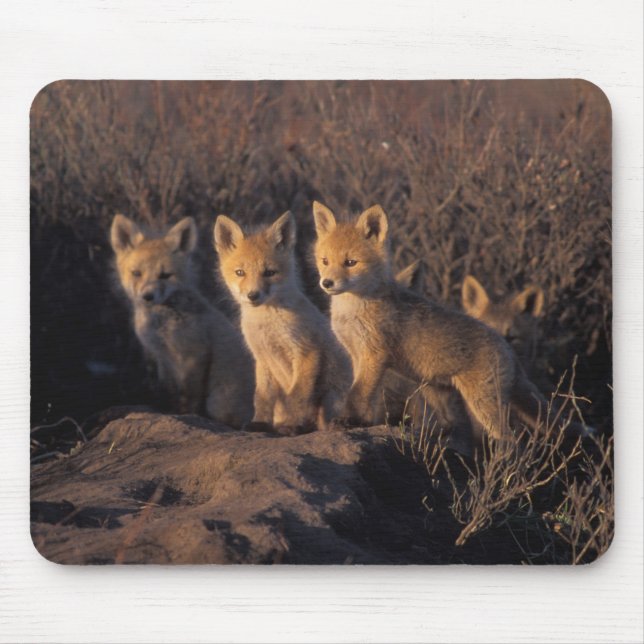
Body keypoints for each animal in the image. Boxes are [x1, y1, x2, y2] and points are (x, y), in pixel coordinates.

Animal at [110, 213, 254, 427]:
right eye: (136, 273)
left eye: (165, 275)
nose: (147, 296)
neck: (161, 329)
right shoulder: (163, 359)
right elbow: (170, 391)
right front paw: (169, 411)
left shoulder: (194, 356)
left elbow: (189, 397)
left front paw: (187, 416)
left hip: (219, 401)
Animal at [214, 211, 352, 435]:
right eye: (240, 272)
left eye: (269, 273)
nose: (253, 295)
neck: (268, 326)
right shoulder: (262, 358)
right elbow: (262, 398)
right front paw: (259, 423)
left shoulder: (307, 352)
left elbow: (296, 397)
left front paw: (290, 425)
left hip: (331, 396)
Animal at [312, 201, 550, 440]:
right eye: (325, 261)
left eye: (351, 262)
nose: (327, 283)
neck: (351, 311)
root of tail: (507, 348)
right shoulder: (356, 354)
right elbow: (366, 396)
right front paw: (363, 422)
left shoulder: (374, 354)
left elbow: (357, 395)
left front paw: (347, 420)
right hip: (437, 390)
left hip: (482, 403)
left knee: (510, 439)